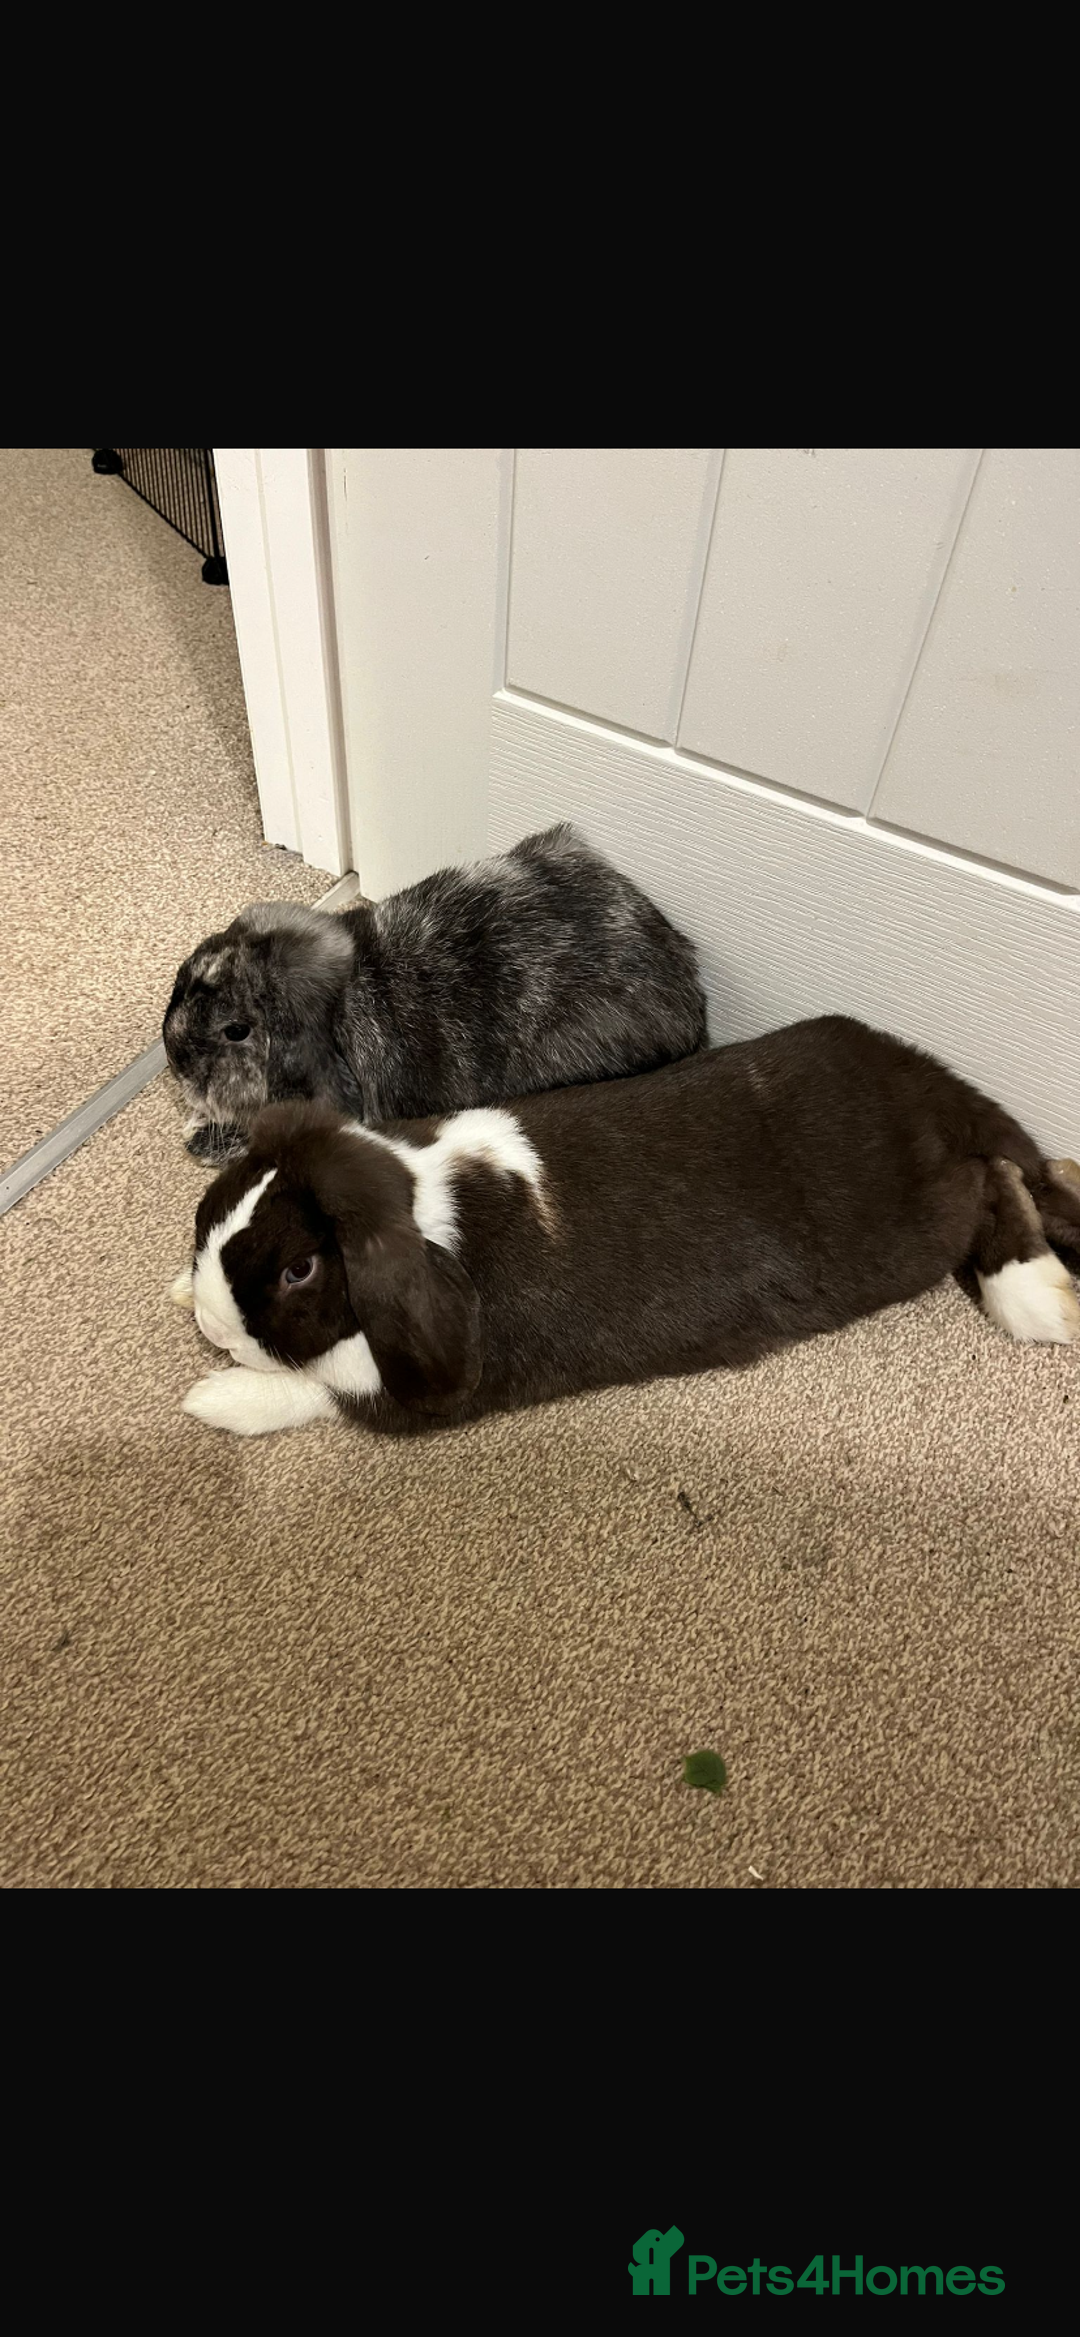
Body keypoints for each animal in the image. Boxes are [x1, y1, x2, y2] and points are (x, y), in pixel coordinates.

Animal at [162, 823, 708, 1162]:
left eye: (236, 1031)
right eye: (183, 980)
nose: (173, 1059)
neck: (341, 1007)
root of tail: (691, 996)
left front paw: (199, 1137)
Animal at [173, 1014, 1080, 1440]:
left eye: (299, 1270)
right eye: (223, 1195)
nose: (213, 1326)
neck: (419, 1200)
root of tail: (926, 1085)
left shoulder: (410, 1386)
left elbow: (314, 1387)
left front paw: (214, 1398)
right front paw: (182, 1287)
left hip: (921, 1222)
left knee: (999, 1181)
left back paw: (1039, 1298)